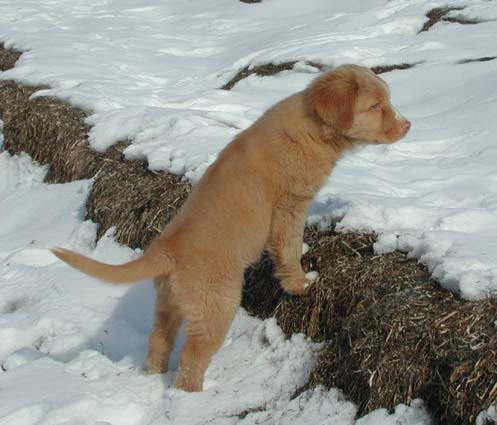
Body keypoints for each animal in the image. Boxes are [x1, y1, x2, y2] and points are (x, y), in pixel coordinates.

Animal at [53, 63, 410, 390]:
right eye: (375, 106)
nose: (408, 125)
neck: (312, 128)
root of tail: (166, 250)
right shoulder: (290, 205)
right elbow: (288, 245)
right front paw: (301, 282)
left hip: (169, 303)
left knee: (158, 340)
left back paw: (153, 377)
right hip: (217, 304)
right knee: (192, 356)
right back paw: (192, 397)